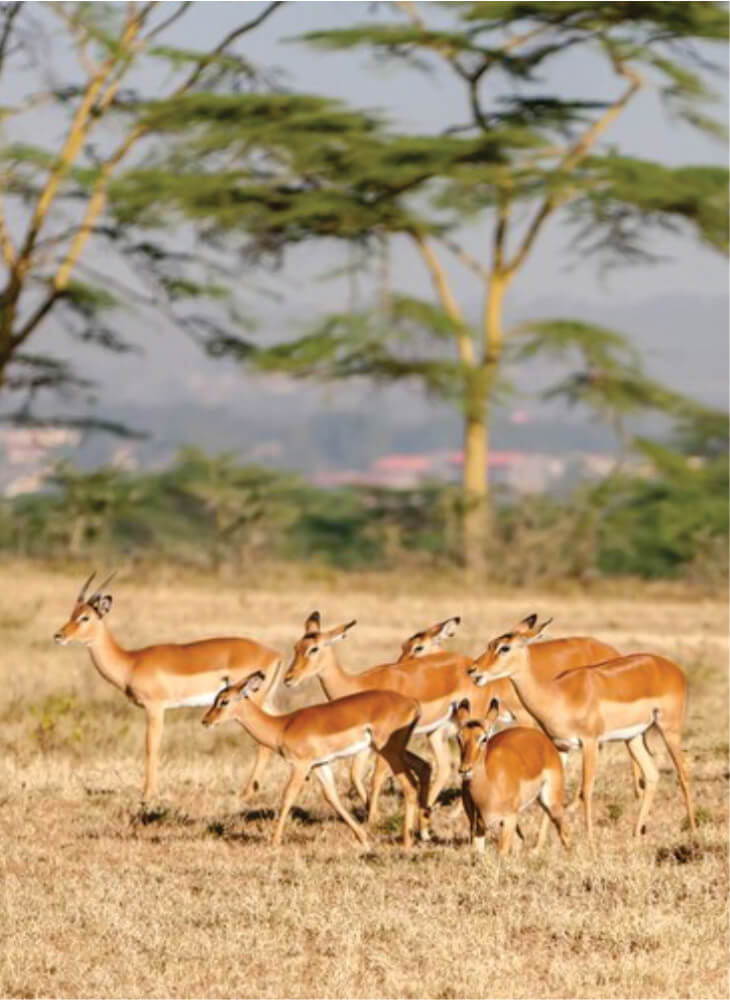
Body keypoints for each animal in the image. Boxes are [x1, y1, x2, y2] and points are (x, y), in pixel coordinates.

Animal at [53, 576, 282, 800]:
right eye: (72, 614)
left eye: (85, 617)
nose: (58, 636)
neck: (131, 662)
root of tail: (275, 654)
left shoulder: (154, 707)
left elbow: (151, 746)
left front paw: (148, 794)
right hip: (266, 701)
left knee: (263, 743)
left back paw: (245, 793)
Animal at [199, 668, 430, 848]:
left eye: (223, 701)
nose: (206, 721)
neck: (282, 727)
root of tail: (412, 703)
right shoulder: (320, 764)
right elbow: (332, 797)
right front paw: (363, 838)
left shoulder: (300, 766)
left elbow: (287, 797)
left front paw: (274, 841)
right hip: (395, 750)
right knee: (425, 766)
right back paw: (421, 833)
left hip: (388, 750)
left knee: (410, 785)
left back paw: (407, 842)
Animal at [456, 700, 568, 856]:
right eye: (459, 738)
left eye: (484, 738)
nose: (465, 769)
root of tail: (543, 739)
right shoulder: (478, 826)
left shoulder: (509, 818)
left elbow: (501, 852)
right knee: (520, 839)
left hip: (551, 802)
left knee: (565, 832)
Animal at [466, 612, 692, 848]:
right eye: (490, 644)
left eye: (505, 647)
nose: (473, 670)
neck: (559, 695)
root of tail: (674, 668)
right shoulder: (561, 747)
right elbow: (552, 795)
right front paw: (538, 847)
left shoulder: (590, 743)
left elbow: (587, 790)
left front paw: (590, 843)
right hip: (634, 737)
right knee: (652, 774)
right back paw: (636, 836)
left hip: (669, 729)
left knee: (684, 770)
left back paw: (693, 834)